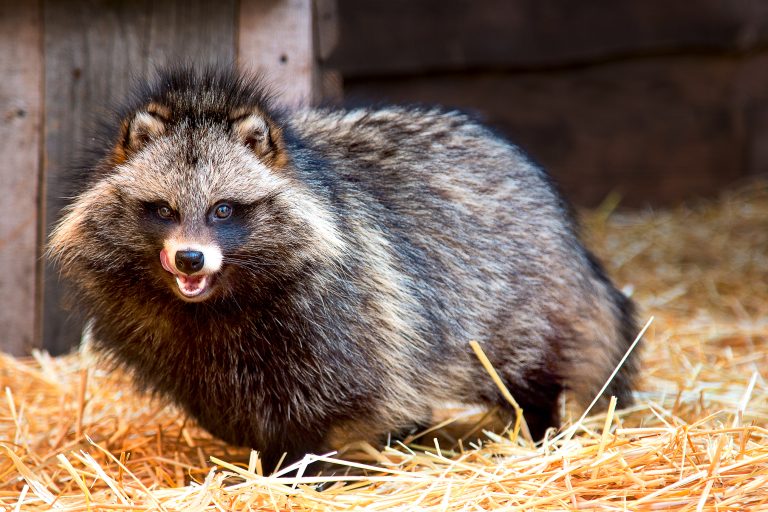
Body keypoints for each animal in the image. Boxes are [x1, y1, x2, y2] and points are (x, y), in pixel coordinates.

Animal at [46, 67, 636, 472]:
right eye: (163, 210)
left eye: (223, 210)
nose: (190, 258)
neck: (214, 304)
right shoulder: (171, 341)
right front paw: (262, 455)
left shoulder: (342, 313)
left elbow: (327, 400)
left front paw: (300, 466)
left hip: (520, 299)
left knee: (527, 370)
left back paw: (539, 426)